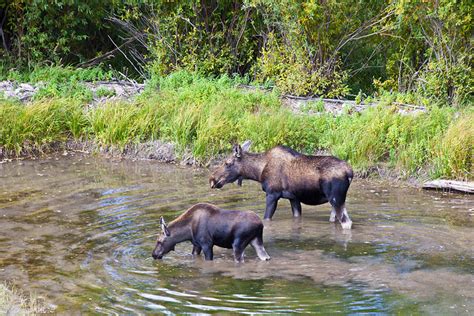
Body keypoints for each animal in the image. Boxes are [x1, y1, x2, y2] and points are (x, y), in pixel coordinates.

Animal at [209, 142, 354, 228]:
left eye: (227, 163)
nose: (212, 179)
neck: (258, 172)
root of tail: (350, 173)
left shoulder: (272, 194)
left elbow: (266, 218)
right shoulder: (293, 198)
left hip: (336, 198)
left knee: (347, 223)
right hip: (337, 201)